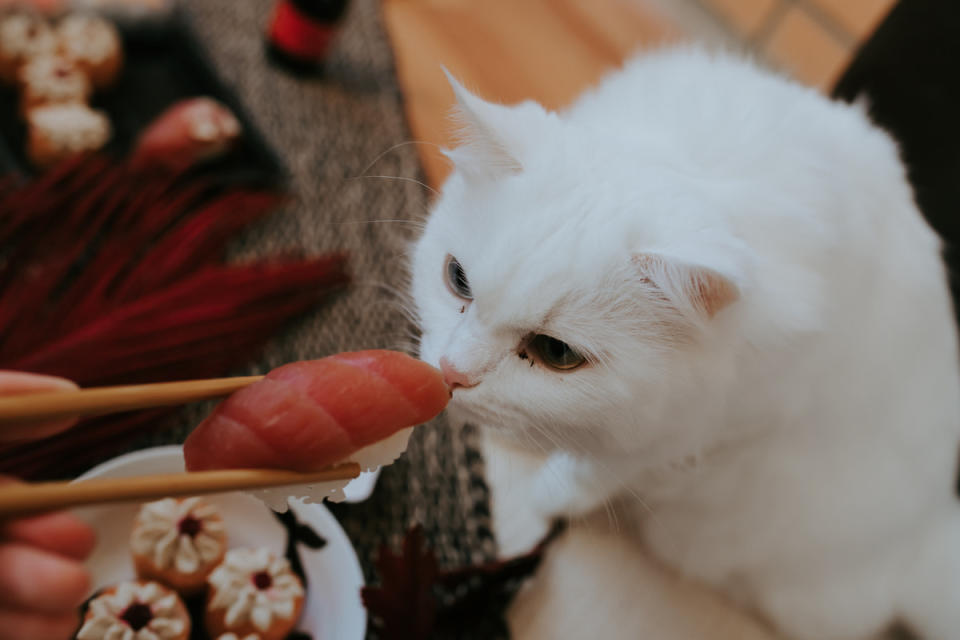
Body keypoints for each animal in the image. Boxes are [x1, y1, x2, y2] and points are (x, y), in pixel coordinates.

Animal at [408, 48, 960, 640]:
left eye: (556, 354)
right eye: (458, 280)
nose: (451, 371)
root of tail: (927, 533)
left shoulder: (711, 432)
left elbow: (598, 468)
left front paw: (549, 496)